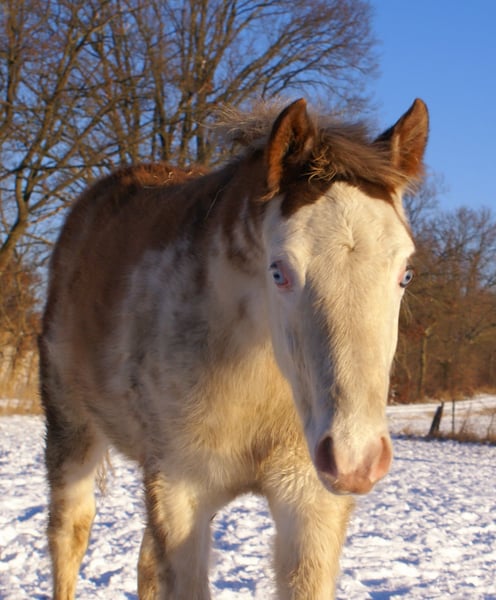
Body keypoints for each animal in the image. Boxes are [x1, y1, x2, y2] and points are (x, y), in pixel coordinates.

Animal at [39, 97, 428, 599]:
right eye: (279, 271)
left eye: (406, 273)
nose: (355, 459)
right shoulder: (179, 491)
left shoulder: (310, 503)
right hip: (71, 426)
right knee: (69, 535)